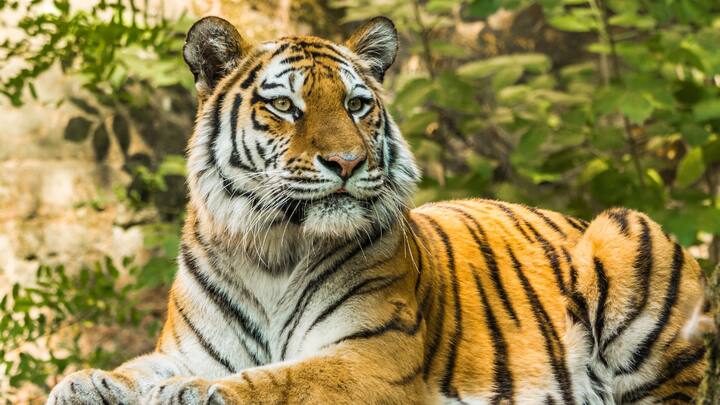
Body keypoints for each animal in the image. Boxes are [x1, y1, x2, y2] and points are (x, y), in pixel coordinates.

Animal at [47, 15, 711, 405]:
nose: (346, 162)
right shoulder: (187, 345)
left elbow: (284, 377)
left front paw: (195, 391)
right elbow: (141, 367)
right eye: (284, 106)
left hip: (625, 231)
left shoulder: (374, 355)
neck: (271, 248)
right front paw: (87, 382)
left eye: (357, 103)